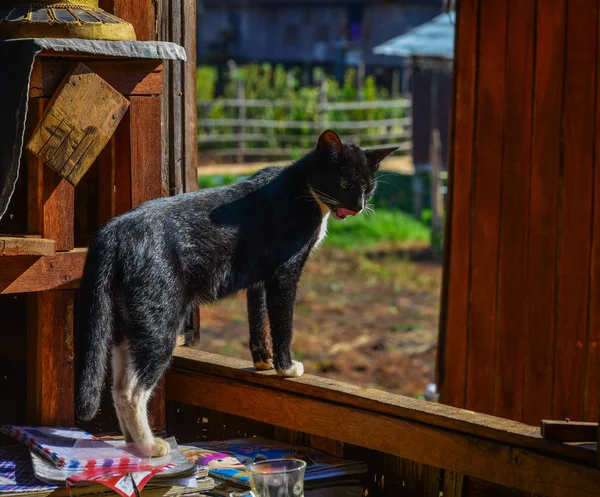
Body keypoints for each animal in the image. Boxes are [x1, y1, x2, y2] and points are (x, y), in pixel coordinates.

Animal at [75, 130, 396, 456]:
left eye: (368, 189)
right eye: (344, 184)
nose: (358, 206)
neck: (304, 190)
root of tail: (112, 232)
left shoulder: (258, 279)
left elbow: (258, 320)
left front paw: (263, 363)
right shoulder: (284, 273)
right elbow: (283, 323)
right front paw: (286, 368)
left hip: (125, 324)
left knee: (116, 386)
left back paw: (130, 443)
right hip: (158, 320)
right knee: (132, 391)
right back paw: (150, 446)